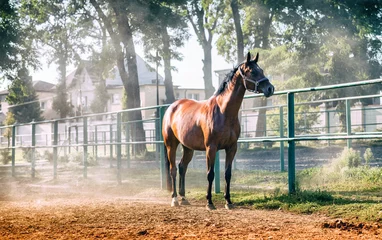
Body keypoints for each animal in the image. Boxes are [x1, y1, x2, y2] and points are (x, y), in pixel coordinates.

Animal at [161, 51, 274, 209]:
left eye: (261, 70)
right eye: (252, 71)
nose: (270, 88)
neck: (224, 112)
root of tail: (171, 107)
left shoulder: (231, 147)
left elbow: (227, 174)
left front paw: (228, 201)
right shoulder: (211, 148)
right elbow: (210, 174)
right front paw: (209, 202)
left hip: (188, 147)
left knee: (182, 167)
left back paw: (184, 198)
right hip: (171, 145)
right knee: (173, 170)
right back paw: (175, 199)